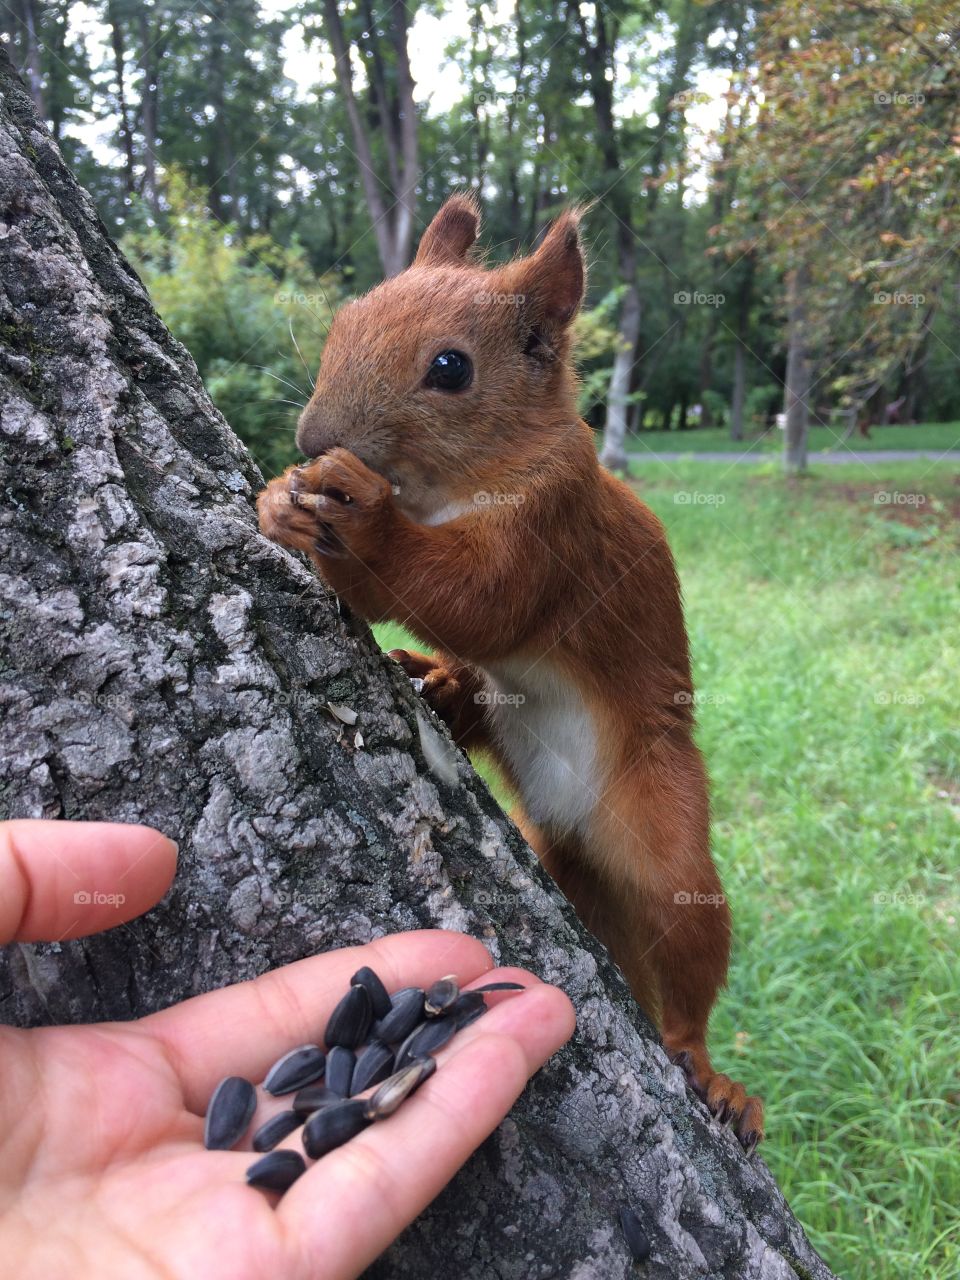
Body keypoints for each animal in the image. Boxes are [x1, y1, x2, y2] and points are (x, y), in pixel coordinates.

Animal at [257, 194, 763, 1153]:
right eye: (344, 320)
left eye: (450, 368)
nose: (311, 438)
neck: (444, 488)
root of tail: (576, 833)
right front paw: (280, 500)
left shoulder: (551, 529)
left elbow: (477, 601)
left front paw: (358, 519)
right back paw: (440, 685)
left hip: (664, 826)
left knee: (686, 945)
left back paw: (709, 1070)